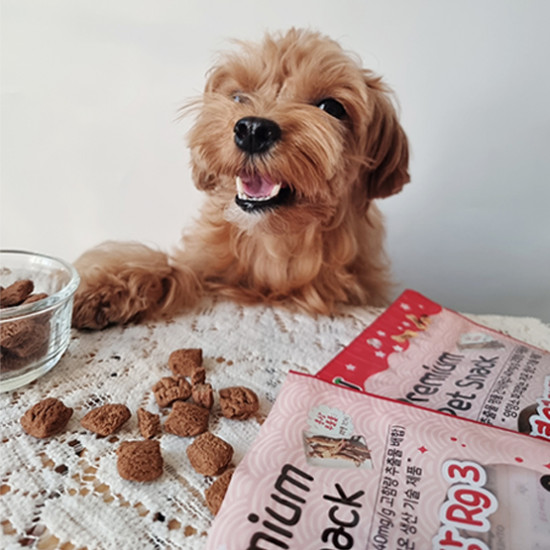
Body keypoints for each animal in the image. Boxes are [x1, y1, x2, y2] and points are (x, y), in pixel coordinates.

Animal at [72, 28, 410, 330]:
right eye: (238, 96)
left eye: (332, 107)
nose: (253, 130)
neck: (272, 240)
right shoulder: (204, 264)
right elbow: (169, 266)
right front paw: (101, 287)